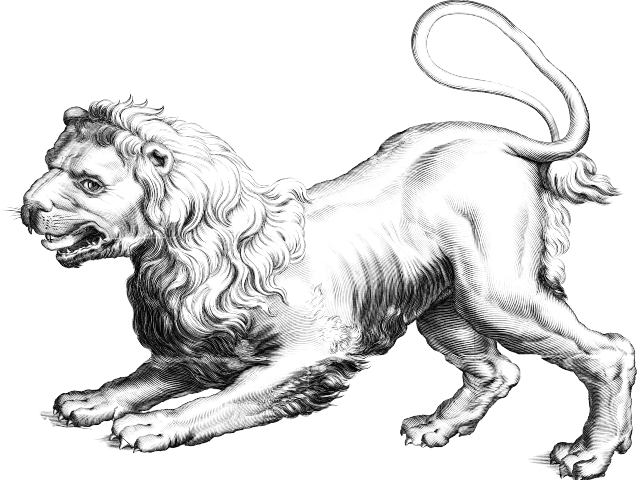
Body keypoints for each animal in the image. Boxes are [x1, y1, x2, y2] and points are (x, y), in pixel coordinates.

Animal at [16, 2, 633, 478]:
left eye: (91, 180)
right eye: (51, 163)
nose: (26, 201)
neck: (206, 256)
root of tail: (513, 142)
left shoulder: (312, 358)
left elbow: (222, 398)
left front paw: (151, 423)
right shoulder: (189, 354)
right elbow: (144, 377)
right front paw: (90, 400)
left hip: (498, 293)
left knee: (607, 351)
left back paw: (586, 455)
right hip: (445, 306)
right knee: (494, 369)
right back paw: (438, 427)